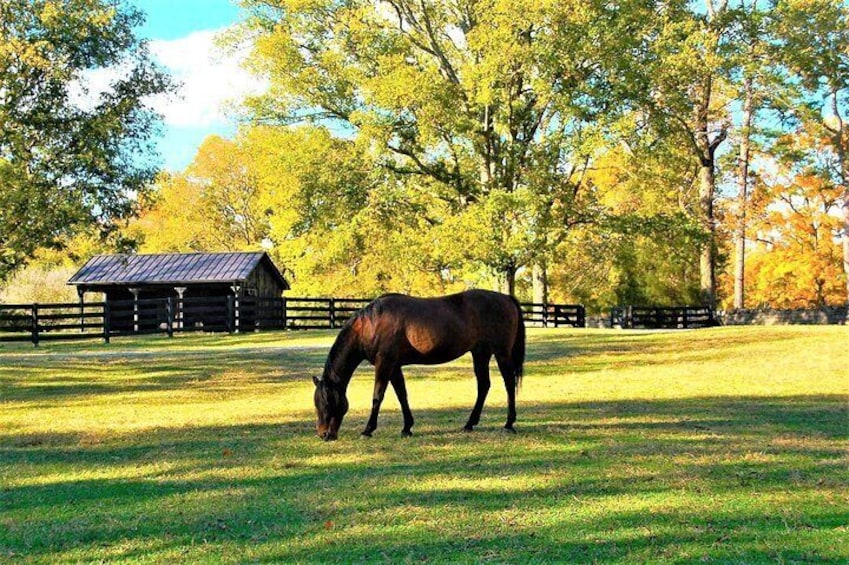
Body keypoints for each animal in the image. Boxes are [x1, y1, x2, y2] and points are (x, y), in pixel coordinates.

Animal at [312, 290, 524, 440]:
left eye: (328, 403)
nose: (324, 435)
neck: (371, 324)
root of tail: (506, 298)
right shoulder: (394, 366)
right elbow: (402, 395)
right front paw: (407, 428)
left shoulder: (384, 364)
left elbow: (377, 396)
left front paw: (368, 430)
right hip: (480, 353)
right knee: (484, 385)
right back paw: (469, 424)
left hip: (501, 353)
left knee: (508, 383)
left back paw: (508, 424)